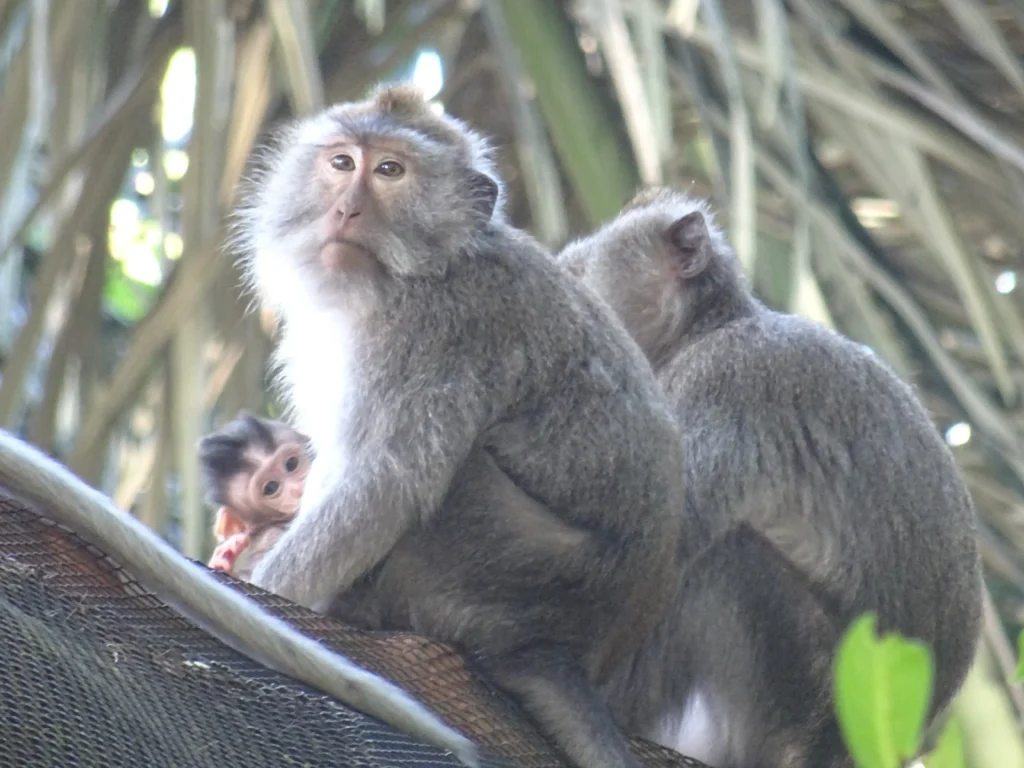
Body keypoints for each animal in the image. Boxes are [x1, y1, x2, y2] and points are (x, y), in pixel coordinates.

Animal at [232, 84, 687, 768]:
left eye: (390, 171)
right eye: (342, 163)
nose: (346, 208)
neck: (421, 268)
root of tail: (562, 649)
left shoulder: (436, 329)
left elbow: (385, 483)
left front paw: (276, 596)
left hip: (496, 562)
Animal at [557, 187, 984, 768]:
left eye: (577, 277)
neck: (705, 330)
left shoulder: (722, 379)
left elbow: (661, 543)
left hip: (800, 690)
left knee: (725, 560)